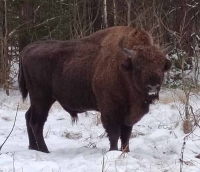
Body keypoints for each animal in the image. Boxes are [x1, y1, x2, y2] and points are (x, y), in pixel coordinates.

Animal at [18, 25, 175, 152]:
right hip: (41, 98)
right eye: (137, 66)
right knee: (37, 122)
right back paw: (45, 150)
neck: (123, 68)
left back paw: (33, 147)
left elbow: (126, 136)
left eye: (161, 65)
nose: (153, 86)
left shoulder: (128, 115)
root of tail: (27, 49)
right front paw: (113, 152)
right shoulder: (110, 111)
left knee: (28, 117)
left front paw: (126, 152)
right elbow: (114, 134)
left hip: (43, 99)